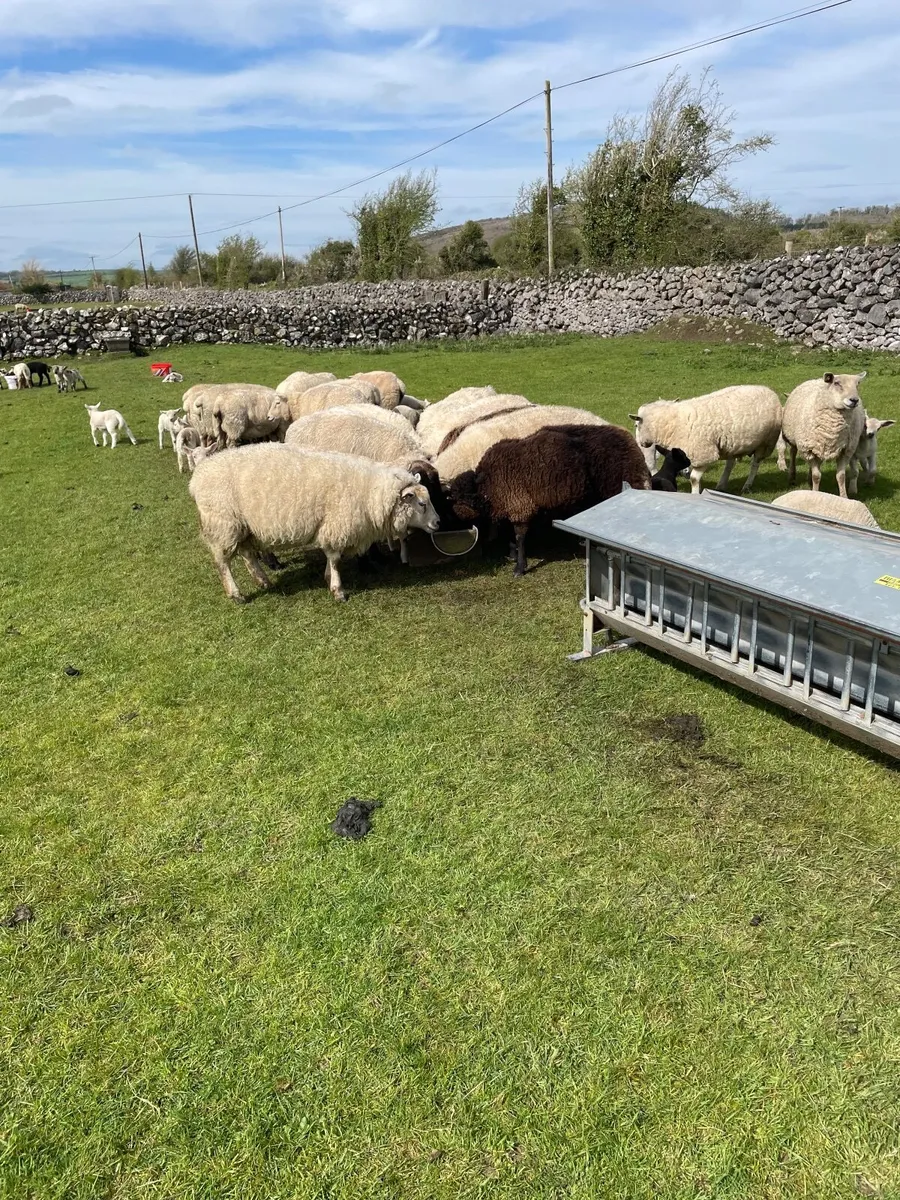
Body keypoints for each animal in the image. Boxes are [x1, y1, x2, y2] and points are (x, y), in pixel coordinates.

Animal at [188, 443, 440, 602]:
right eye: (421, 504)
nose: (438, 523)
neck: (370, 490)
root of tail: (198, 476)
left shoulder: (331, 528)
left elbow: (331, 557)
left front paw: (328, 578)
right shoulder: (337, 525)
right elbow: (336, 560)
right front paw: (338, 591)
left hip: (243, 527)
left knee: (248, 555)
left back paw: (264, 582)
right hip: (223, 523)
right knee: (223, 563)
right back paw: (236, 594)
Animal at [446, 423, 650, 576]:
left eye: (458, 500)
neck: (487, 487)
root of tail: (630, 443)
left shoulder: (520, 505)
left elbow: (520, 537)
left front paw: (520, 567)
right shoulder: (509, 506)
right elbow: (510, 533)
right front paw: (512, 554)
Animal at [629, 385, 782, 495]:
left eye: (637, 425)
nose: (642, 444)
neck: (673, 422)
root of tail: (769, 390)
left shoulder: (703, 453)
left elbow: (694, 479)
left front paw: (695, 494)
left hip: (766, 442)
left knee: (755, 464)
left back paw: (747, 485)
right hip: (731, 444)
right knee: (730, 464)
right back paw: (721, 484)